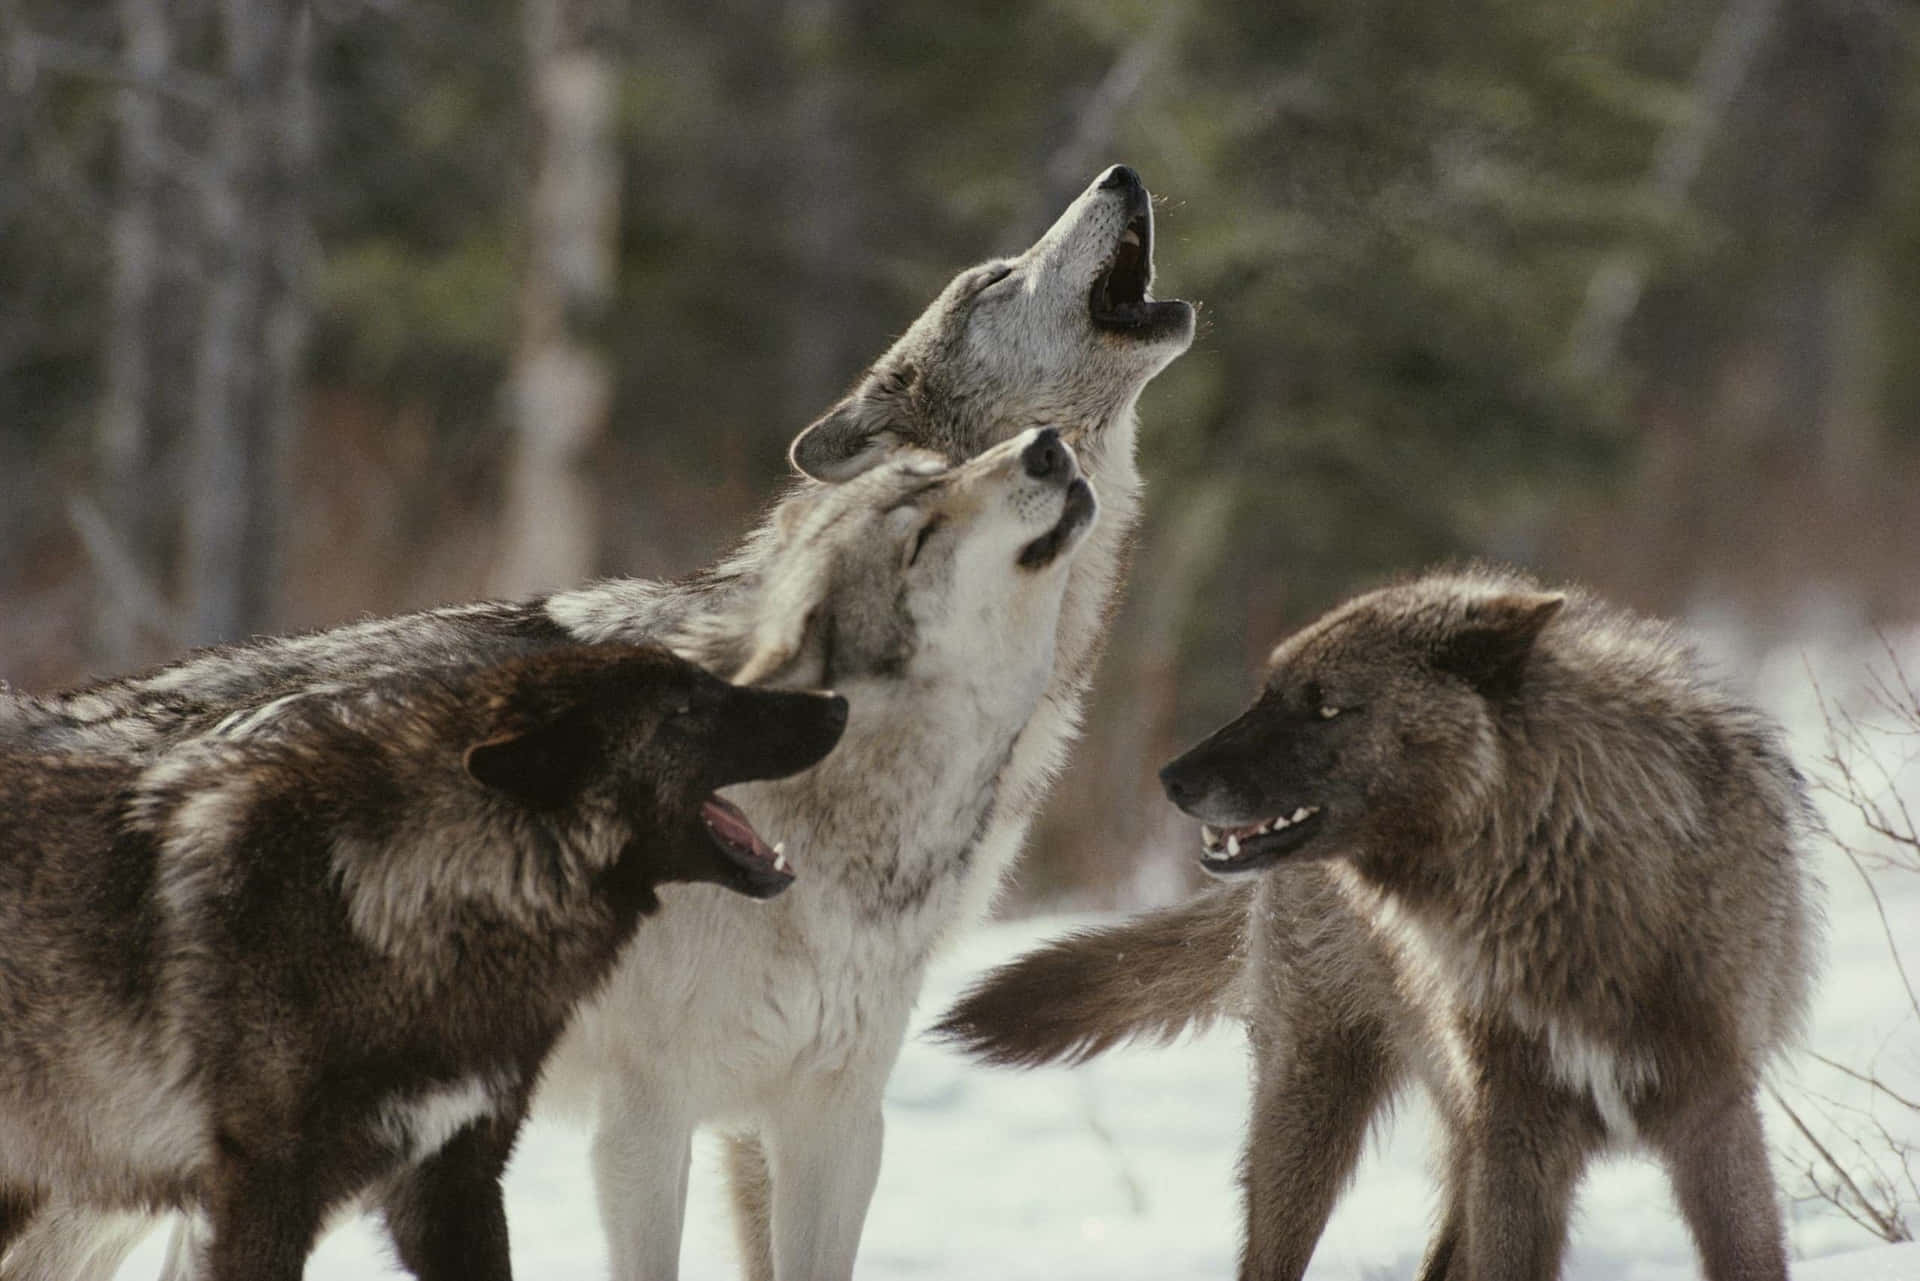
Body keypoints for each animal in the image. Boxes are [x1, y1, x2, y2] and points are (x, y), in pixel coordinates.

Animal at [938, 567, 1819, 1281]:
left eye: (1325, 705)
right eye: (1267, 691)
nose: (1171, 777)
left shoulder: (1714, 1116)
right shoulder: (1520, 1141)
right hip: (1313, 1115)